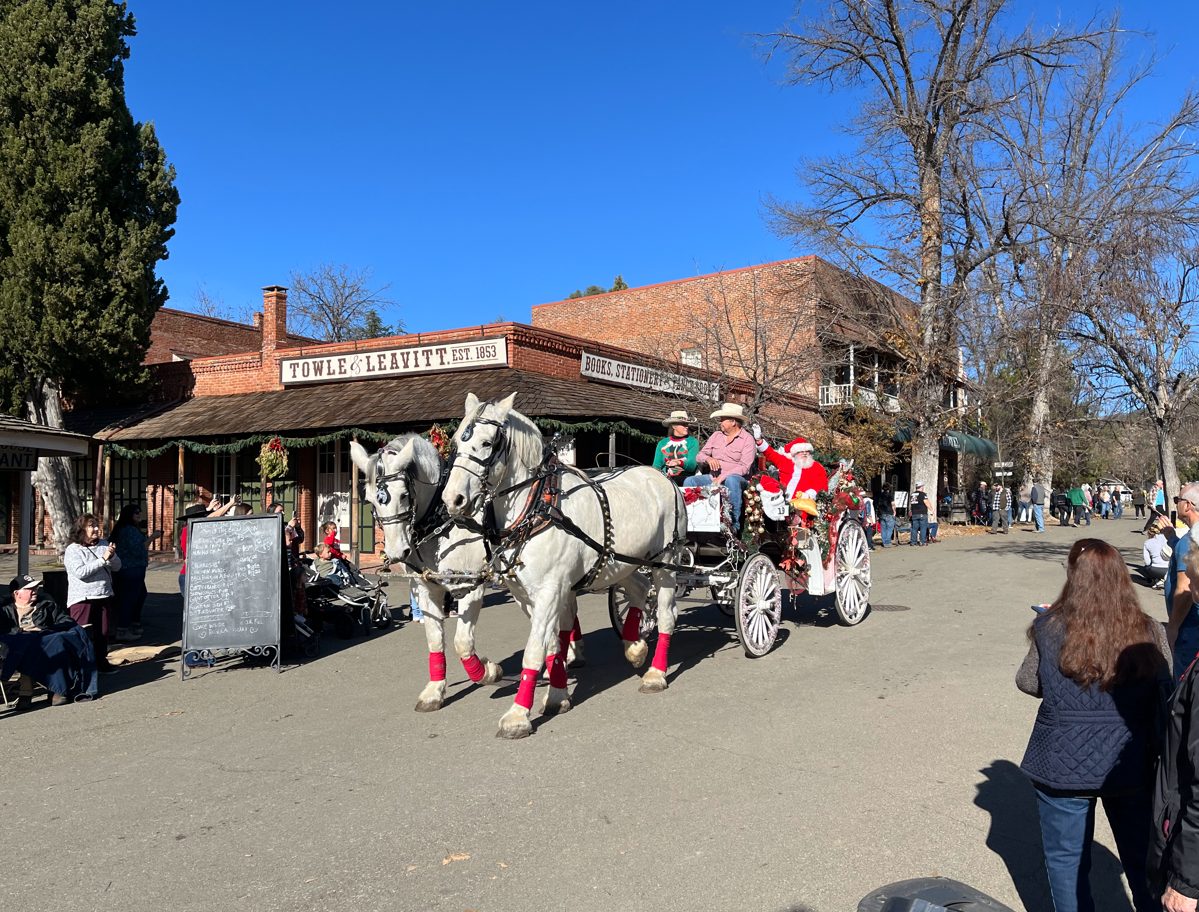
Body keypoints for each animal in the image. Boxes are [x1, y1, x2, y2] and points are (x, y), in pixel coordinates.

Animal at [350, 433, 503, 709]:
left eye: (403, 495)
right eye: (370, 500)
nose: (397, 552)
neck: (442, 522)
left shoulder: (470, 586)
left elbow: (462, 642)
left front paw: (488, 672)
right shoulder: (426, 587)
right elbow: (434, 638)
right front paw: (435, 691)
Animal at [443, 390, 690, 738]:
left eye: (487, 442)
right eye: (455, 442)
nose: (452, 500)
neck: (538, 506)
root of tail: (662, 477)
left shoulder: (550, 590)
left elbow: (534, 651)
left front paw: (518, 714)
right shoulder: (526, 595)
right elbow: (551, 646)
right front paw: (557, 695)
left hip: (666, 563)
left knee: (667, 614)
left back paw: (656, 673)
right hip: (622, 562)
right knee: (640, 590)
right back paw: (635, 647)